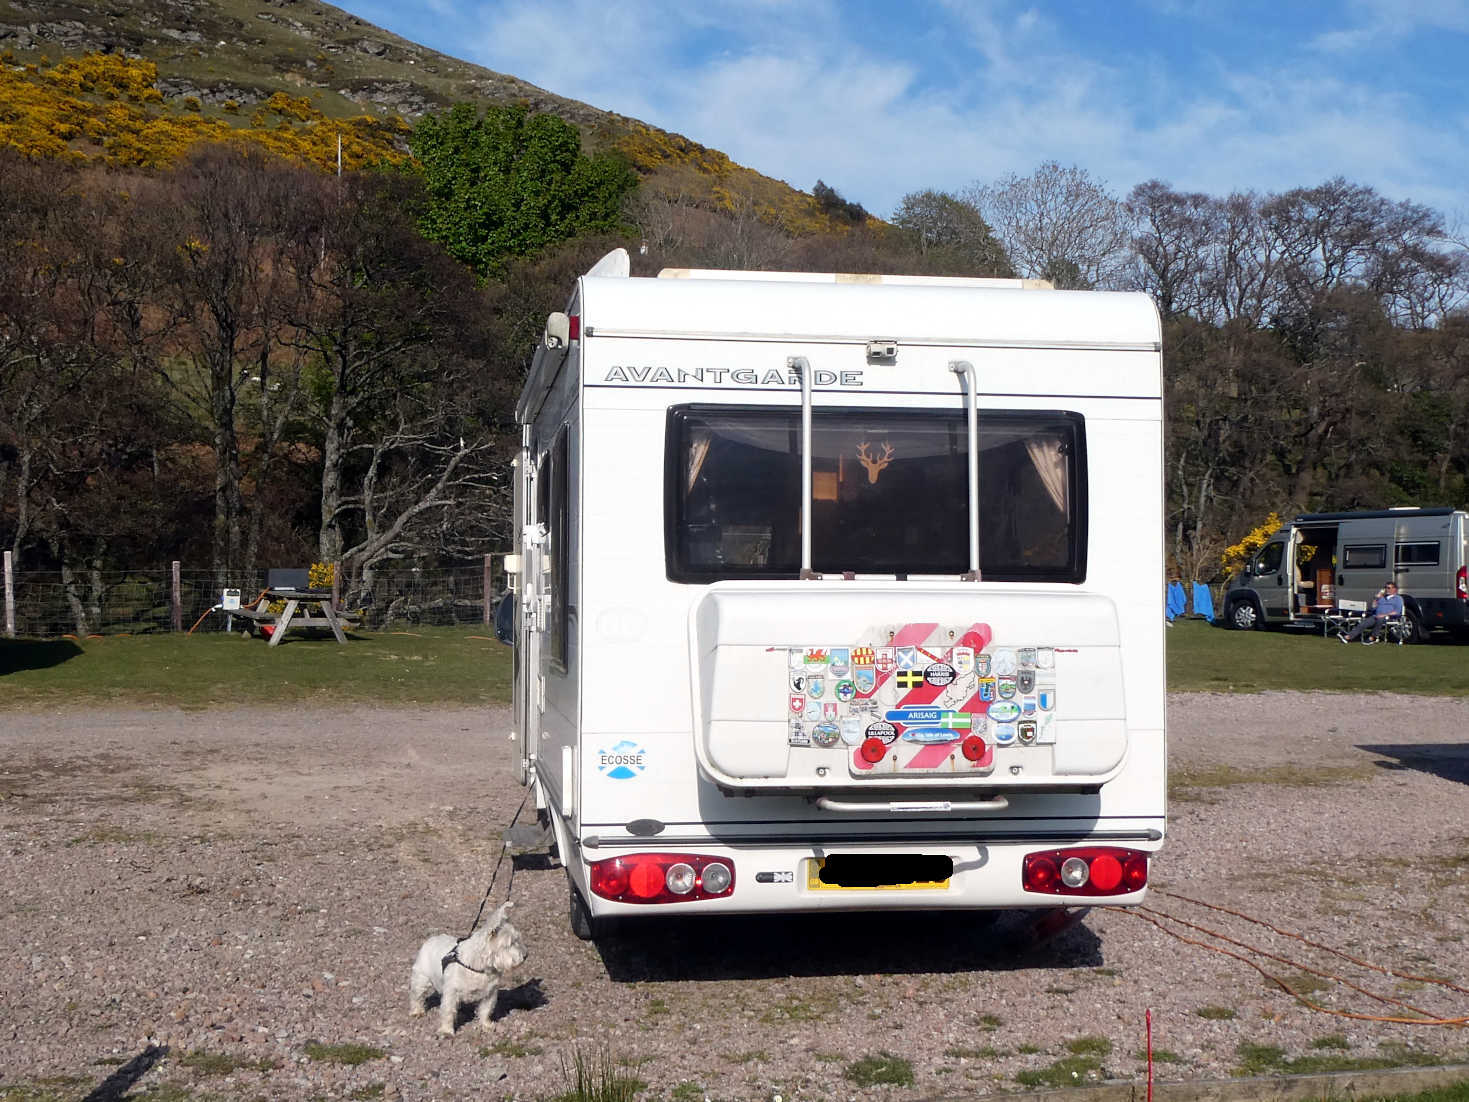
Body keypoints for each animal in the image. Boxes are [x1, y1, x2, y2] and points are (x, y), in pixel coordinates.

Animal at [408, 899, 528, 1040]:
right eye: (510, 943)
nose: (525, 955)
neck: (479, 966)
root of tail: (432, 938)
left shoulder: (490, 992)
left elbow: (486, 1009)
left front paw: (486, 1025)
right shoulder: (452, 992)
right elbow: (448, 1011)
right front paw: (447, 1031)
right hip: (421, 978)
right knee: (417, 995)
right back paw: (417, 1011)